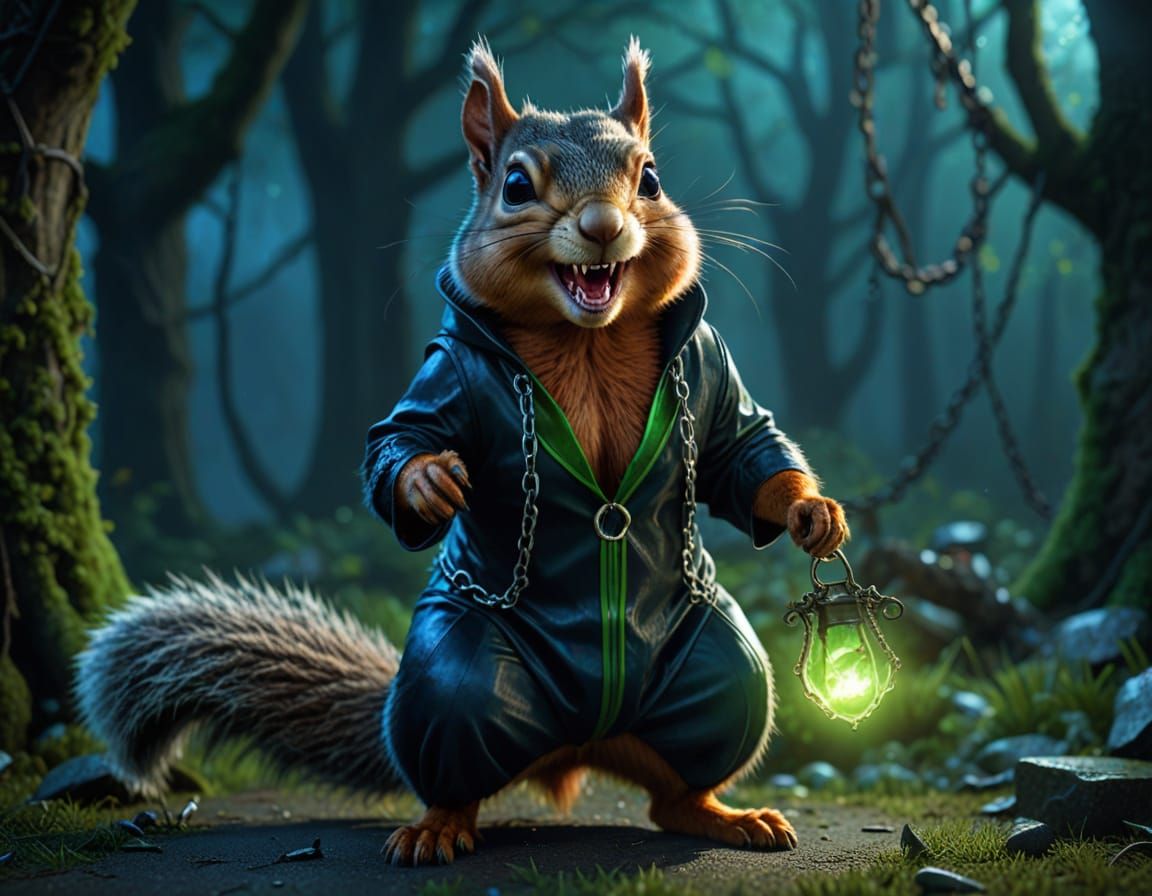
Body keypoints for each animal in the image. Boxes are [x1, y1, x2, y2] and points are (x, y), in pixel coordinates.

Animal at [75, 38, 848, 868]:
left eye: (650, 179)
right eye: (515, 185)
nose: (603, 225)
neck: (588, 339)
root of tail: (579, 746)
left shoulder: (705, 356)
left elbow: (742, 447)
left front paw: (813, 511)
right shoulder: (449, 373)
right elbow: (401, 437)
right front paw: (426, 483)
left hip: (720, 678)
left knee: (681, 783)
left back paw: (726, 815)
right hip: (451, 681)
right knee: (457, 754)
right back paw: (438, 826)